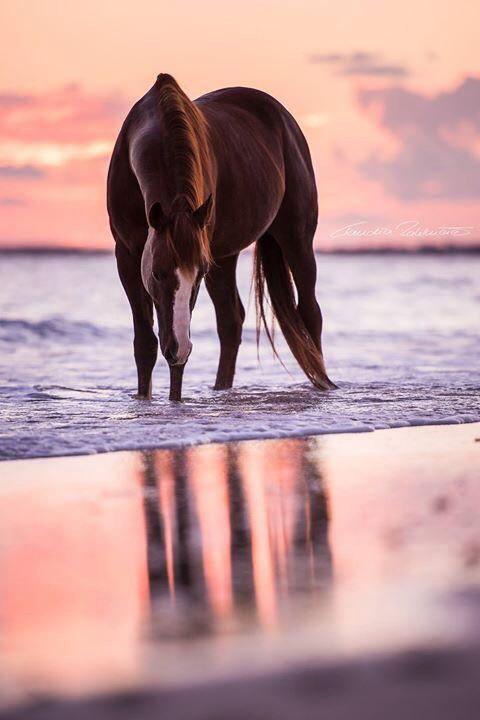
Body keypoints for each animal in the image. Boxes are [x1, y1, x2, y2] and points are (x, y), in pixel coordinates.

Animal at [107, 74, 336, 400]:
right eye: (157, 273)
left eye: (197, 275)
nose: (179, 348)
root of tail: (285, 120)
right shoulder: (127, 255)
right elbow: (146, 345)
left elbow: (172, 351)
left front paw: (175, 399)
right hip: (225, 254)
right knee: (231, 321)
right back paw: (220, 389)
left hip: (297, 240)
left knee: (309, 314)